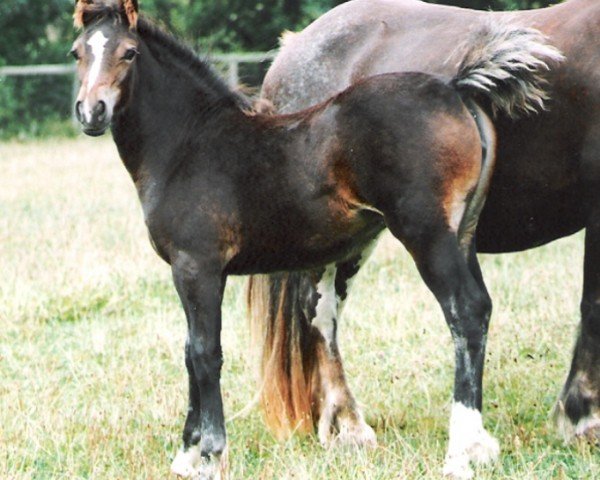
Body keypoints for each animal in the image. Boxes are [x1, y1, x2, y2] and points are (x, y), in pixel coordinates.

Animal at [71, 1, 564, 478]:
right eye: (78, 53)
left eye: (129, 53)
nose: (91, 112)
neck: (189, 145)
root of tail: (455, 88)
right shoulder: (197, 270)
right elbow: (193, 351)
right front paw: (189, 455)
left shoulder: (197, 266)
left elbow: (203, 353)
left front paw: (206, 454)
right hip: (462, 233)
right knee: (480, 308)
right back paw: (479, 447)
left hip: (427, 235)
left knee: (465, 312)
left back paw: (460, 453)